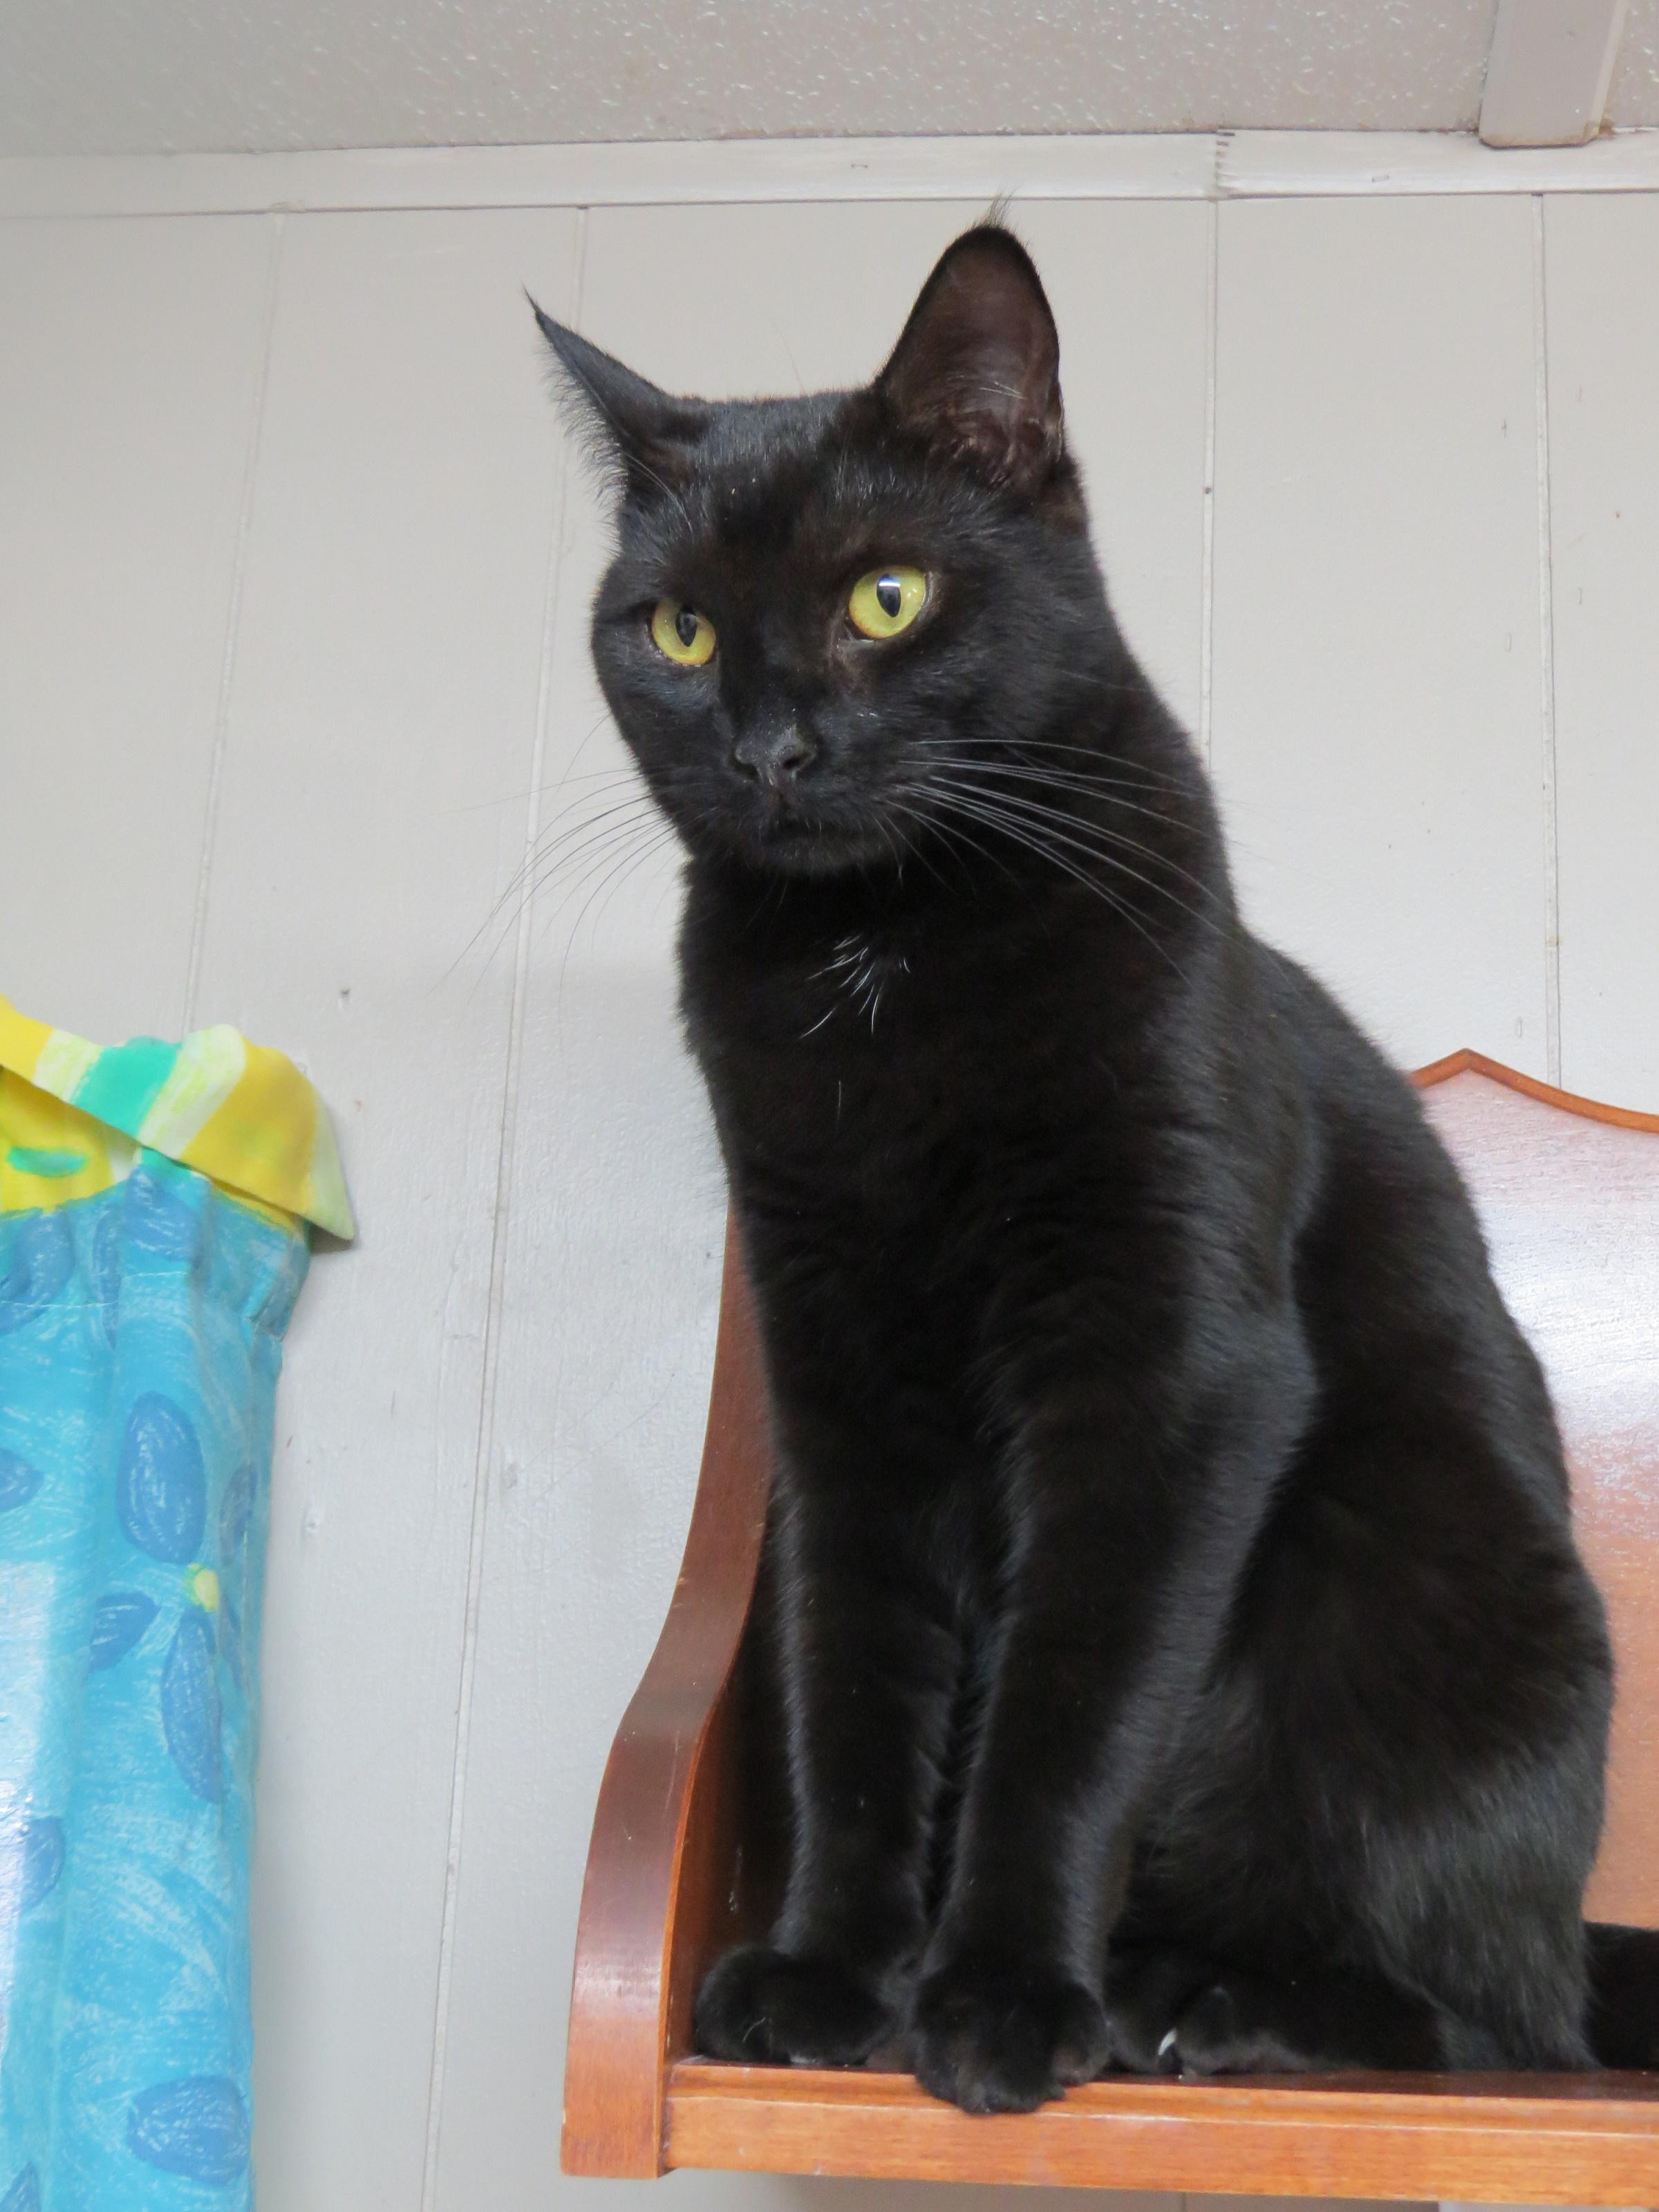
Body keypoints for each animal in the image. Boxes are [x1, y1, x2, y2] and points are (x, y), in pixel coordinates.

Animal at [539, 220, 1654, 2106]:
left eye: (884, 599)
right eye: (678, 630)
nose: (770, 751)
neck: (883, 960)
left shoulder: (1167, 1366)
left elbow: (1069, 1705)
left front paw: (996, 1997)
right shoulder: (832, 1376)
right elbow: (849, 1686)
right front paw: (831, 1972)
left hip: (1395, 1616)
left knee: (1478, 2019)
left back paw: (1205, 2002)